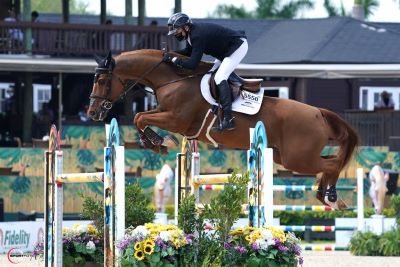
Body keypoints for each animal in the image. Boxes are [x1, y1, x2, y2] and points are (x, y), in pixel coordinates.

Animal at [88, 49, 360, 210]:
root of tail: (318, 112)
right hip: (288, 156)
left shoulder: (176, 119)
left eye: (101, 80)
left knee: (332, 164)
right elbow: (140, 117)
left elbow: (139, 117)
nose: (93, 112)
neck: (174, 79)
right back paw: (326, 194)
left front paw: (159, 142)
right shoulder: (169, 116)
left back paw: (332, 197)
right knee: (330, 162)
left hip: (298, 159)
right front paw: (155, 143)